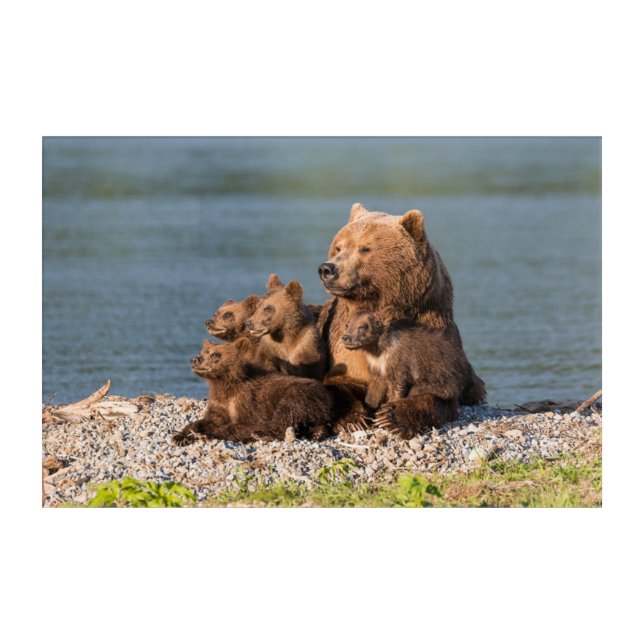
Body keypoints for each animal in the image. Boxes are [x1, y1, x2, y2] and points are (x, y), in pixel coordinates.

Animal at [172, 337, 336, 445]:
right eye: (202, 351)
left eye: (215, 354)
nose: (195, 359)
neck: (224, 383)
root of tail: (327, 394)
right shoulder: (220, 402)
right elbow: (208, 419)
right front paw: (180, 436)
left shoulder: (248, 401)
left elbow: (246, 424)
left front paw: (205, 434)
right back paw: (317, 434)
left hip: (299, 395)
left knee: (285, 415)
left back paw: (261, 434)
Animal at [341, 307, 472, 436]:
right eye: (347, 324)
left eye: (362, 326)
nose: (346, 337)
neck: (378, 349)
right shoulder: (377, 365)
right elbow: (375, 388)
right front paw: (368, 411)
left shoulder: (400, 362)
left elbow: (397, 387)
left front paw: (384, 413)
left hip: (442, 381)